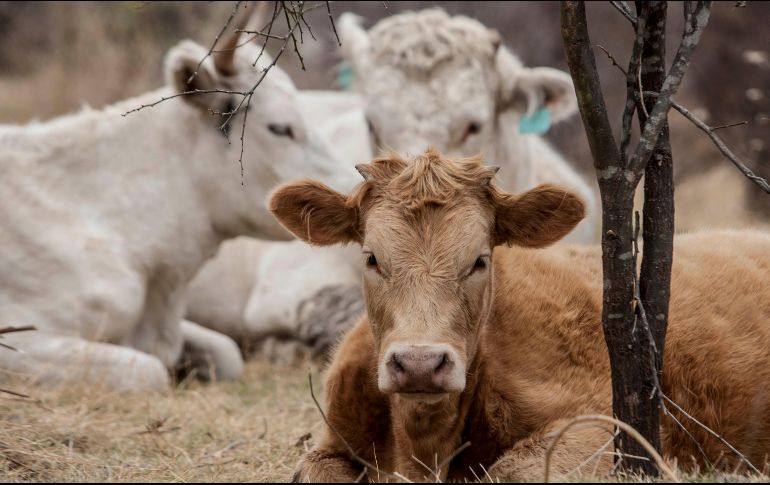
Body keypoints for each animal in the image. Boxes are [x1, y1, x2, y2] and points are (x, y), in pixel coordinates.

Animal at [269, 150, 770, 482]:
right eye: (372, 258)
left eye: (479, 260)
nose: (419, 364)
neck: (422, 447)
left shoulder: (615, 430)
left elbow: (512, 470)